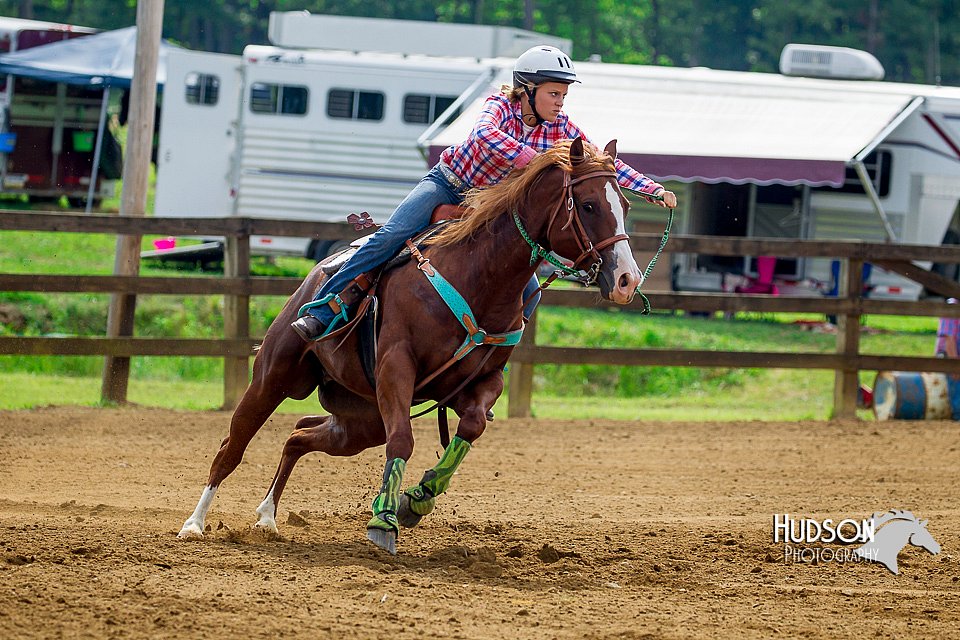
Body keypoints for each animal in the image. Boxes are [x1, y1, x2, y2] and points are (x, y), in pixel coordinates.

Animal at [180, 139, 644, 556]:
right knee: (232, 446)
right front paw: (383, 520)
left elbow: (471, 427)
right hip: (274, 377)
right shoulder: (396, 366)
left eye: (624, 203)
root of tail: (313, 278)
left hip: (360, 420)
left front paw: (417, 499)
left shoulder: (480, 382)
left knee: (299, 435)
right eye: (588, 205)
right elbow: (403, 440)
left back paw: (267, 516)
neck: (479, 272)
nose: (626, 280)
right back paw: (195, 524)